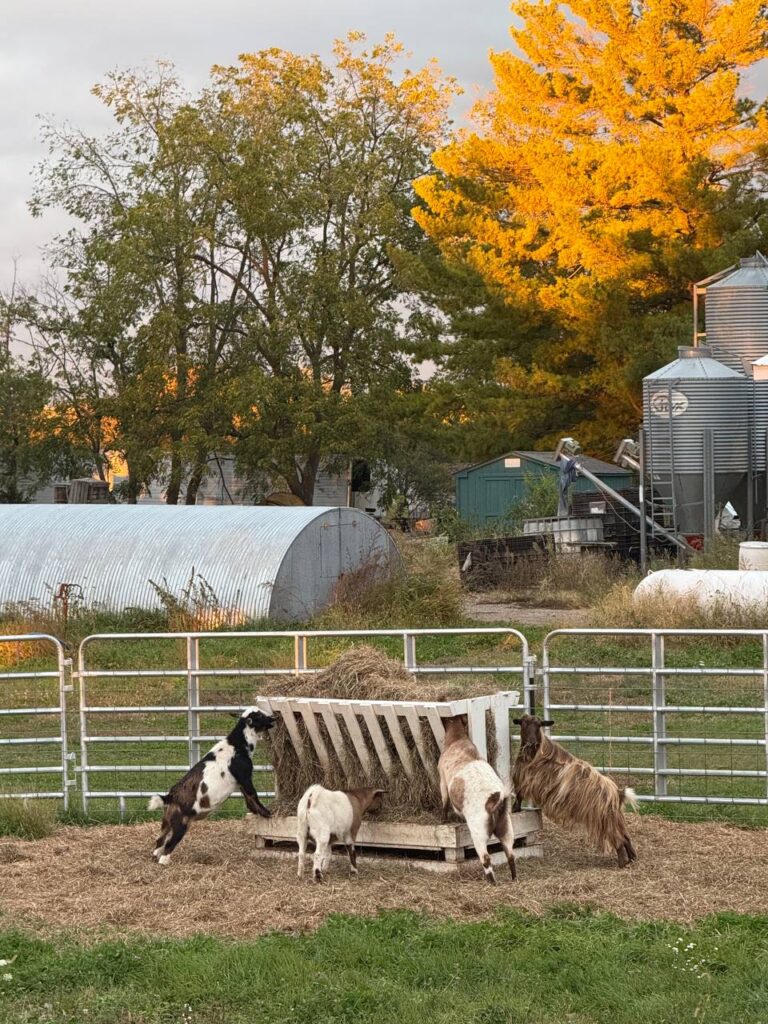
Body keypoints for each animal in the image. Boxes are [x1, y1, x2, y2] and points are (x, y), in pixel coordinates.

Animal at [148, 707, 275, 865]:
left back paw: (155, 855)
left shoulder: (239, 782)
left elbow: (247, 798)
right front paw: (267, 813)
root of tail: (170, 796)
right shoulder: (245, 776)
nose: (273, 718)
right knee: (168, 845)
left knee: (159, 841)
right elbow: (253, 794)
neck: (237, 746)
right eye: (260, 716)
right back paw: (165, 861)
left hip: (167, 821)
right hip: (181, 824)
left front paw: (255, 812)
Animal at [437, 714, 516, 884]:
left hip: (478, 833)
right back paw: (514, 880)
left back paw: (492, 883)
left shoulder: (442, 781)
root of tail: (494, 803)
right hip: (507, 829)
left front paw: (443, 821)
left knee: (486, 858)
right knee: (511, 855)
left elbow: (444, 802)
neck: (458, 739)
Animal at [512, 714, 638, 867]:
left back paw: (622, 863)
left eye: (538, 725)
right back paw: (632, 858)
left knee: (618, 839)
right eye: (523, 724)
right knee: (626, 837)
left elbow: (517, 801)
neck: (537, 753)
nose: (531, 742)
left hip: (605, 819)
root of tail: (617, 793)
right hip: (616, 817)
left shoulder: (522, 782)